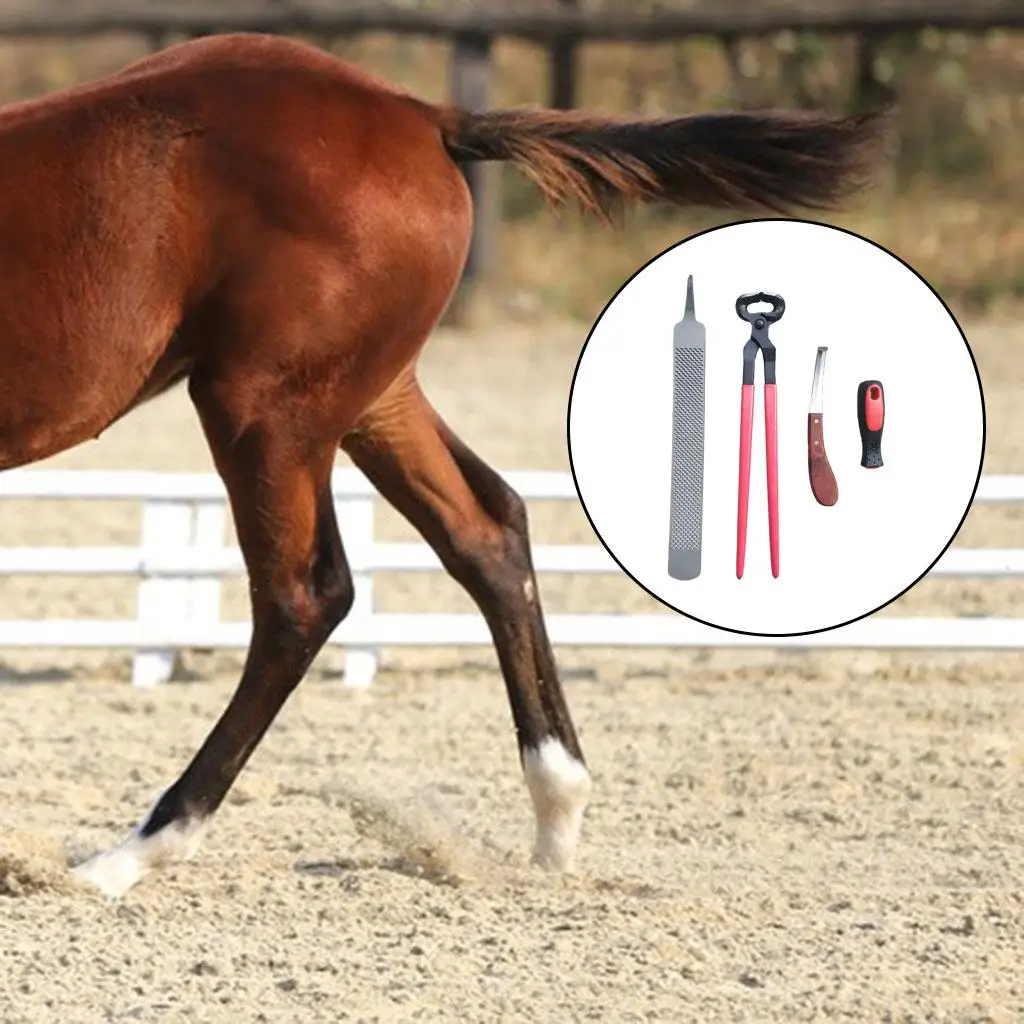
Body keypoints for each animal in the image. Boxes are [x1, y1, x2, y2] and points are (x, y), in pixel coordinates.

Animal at [0, 31, 890, 897]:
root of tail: (422, 116)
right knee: (487, 532)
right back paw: (557, 813)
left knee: (303, 599)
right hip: (370, 399)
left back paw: (130, 856)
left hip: (263, 407)